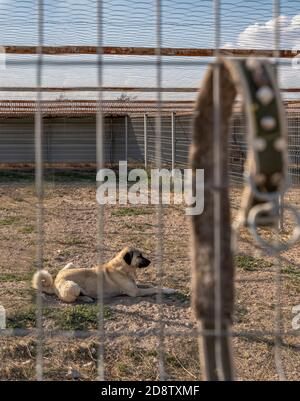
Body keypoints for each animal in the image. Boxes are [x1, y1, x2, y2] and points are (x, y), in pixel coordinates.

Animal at [31, 245, 175, 302]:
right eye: (139, 256)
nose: (150, 261)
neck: (123, 267)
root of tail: (54, 282)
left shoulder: (135, 286)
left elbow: (150, 285)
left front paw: (169, 288)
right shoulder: (136, 292)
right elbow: (155, 288)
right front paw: (169, 290)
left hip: (71, 264)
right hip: (73, 286)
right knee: (70, 298)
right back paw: (87, 298)